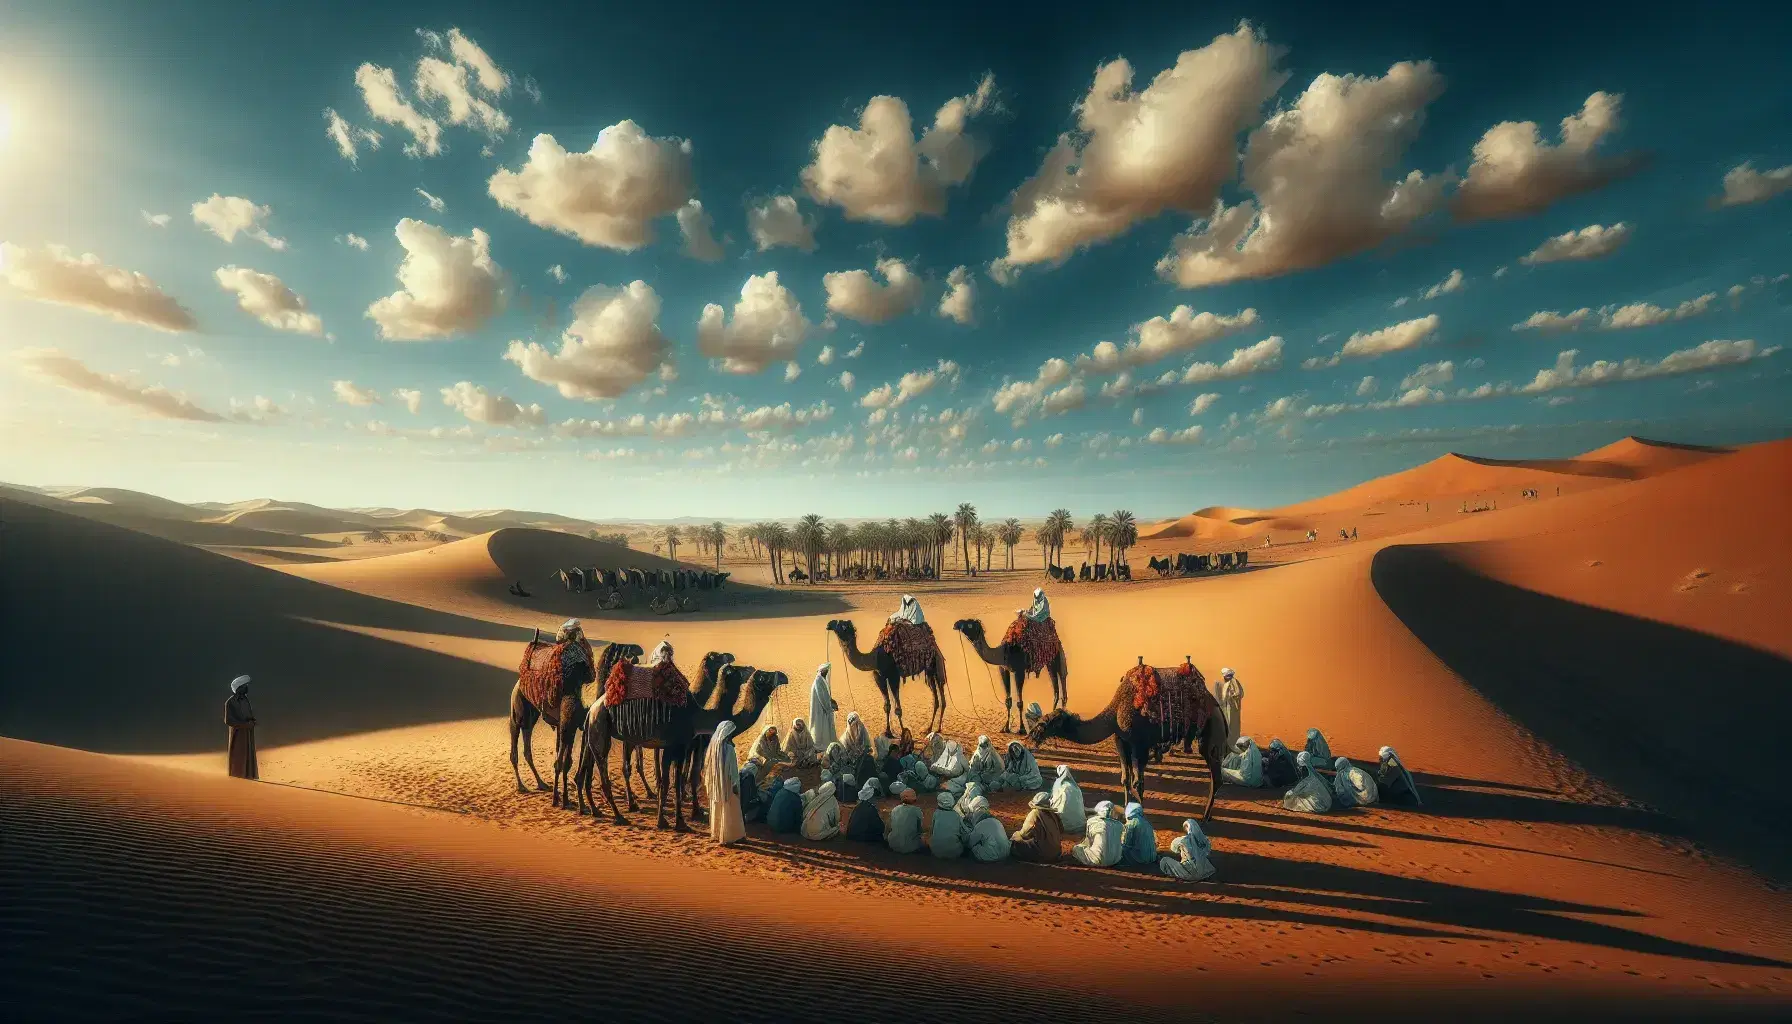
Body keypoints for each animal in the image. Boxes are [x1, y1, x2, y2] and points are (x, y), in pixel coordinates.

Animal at [584, 663, 788, 832]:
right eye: (763, 677)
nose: (783, 676)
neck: (698, 716)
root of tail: (592, 708)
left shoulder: (674, 748)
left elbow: (669, 782)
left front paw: (666, 821)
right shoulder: (678, 746)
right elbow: (674, 782)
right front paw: (678, 822)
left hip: (606, 732)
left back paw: (602, 809)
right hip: (600, 725)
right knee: (604, 771)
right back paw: (619, 816)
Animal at [1025, 659, 1232, 821]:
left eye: (1046, 723)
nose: (1032, 735)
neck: (1115, 712)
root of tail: (1217, 708)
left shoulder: (1140, 744)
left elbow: (1137, 782)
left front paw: (1139, 813)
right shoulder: (1121, 741)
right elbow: (1125, 779)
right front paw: (1126, 809)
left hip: (1211, 731)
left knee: (1216, 774)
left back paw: (1205, 816)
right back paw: (1207, 815)